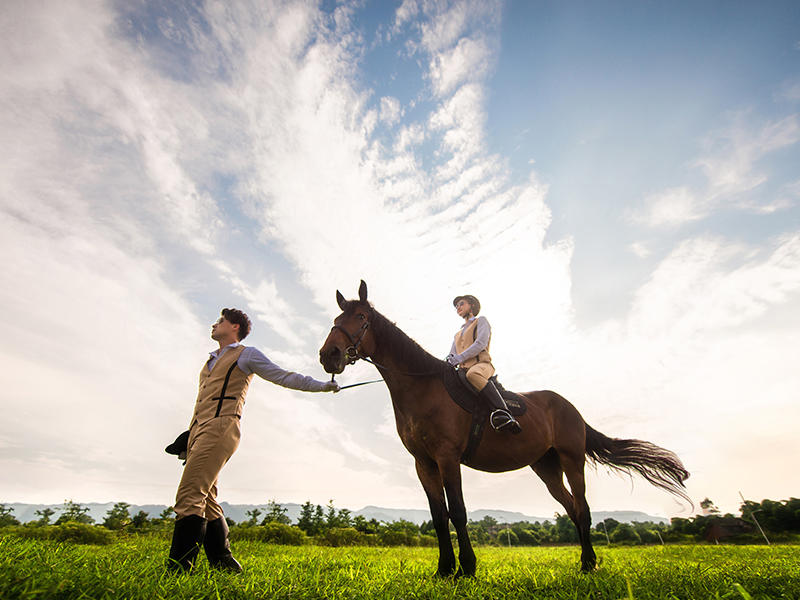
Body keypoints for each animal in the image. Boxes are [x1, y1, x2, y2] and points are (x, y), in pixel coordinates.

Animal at [318, 282, 688, 576]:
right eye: (336, 321)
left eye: (361, 319)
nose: (328, 356)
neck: (422, 388)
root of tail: (569, 408)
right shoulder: (424, 463)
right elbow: (438, 517)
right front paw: (444, 570)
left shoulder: (447, 458)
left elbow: (458, 513)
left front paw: (467, 569)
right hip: (546, 467)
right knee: (570, 507)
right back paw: (587, 561)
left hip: (572, 460)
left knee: (582, 510)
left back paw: (588, 564)